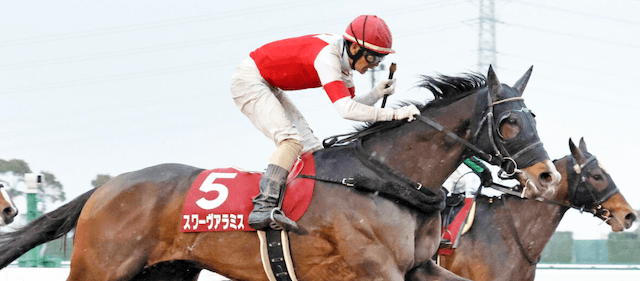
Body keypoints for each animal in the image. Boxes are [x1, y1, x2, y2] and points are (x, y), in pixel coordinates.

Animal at [0, 66, 560, 280]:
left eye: (534, 116)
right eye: (509, 123)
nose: (547, 177)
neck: (385, 180)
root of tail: (105, 189)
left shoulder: (418, 267)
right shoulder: (375, 269)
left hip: (167, 270)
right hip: (100, 266)